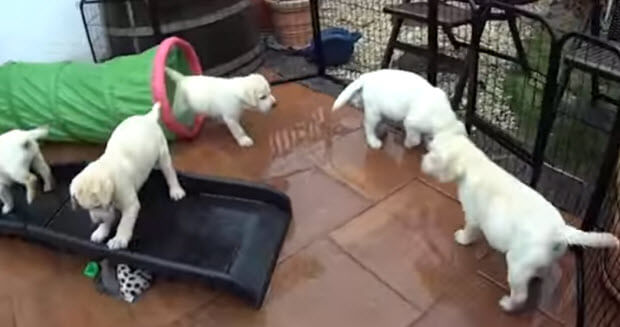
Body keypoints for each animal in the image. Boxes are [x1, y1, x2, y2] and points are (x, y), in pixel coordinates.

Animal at [70, 103, 185, 251]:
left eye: (97, 205)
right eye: (86, 208)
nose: (97, 221)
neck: (108, 171)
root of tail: (147, 117)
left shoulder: (130, 205)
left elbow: (124, 223)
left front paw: (119, 239)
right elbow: (109, 217)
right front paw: (102, 230)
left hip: (163, 154)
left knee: (170, 172)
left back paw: (175, 190)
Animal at [332, 70, 462, 151]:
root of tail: (368, 75)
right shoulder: (410, 122)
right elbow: (415, 139)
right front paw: (409, 144)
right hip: (374, 112)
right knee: (368, 126)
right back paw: (373, 141)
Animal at [422, 133, 620, 312]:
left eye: (433, 155)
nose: (422, 161)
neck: (474, 162)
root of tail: (560, 230)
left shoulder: (472, 216)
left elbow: (470, 230)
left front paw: (462, 238)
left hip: (517, 264)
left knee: (520, 294)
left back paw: (508, 305)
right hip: (542, 258)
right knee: (542, 269)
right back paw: (537, 275)